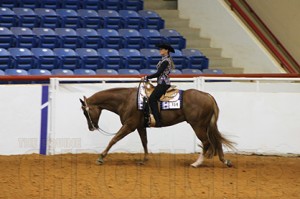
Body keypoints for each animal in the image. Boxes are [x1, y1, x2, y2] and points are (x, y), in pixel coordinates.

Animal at [79, 81, 234, 167]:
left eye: (86, 112)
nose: (91, 127)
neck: (126, 100)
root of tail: (208, 96)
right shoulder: (140, 126)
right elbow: (144, 142)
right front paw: (144, 160)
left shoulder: (129, 126)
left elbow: (114, 139)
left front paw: (101, 158)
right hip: (207, 125)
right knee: (217, 141)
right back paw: (225, 161)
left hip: (198, 126)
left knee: (207, 142)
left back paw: (196, 163)